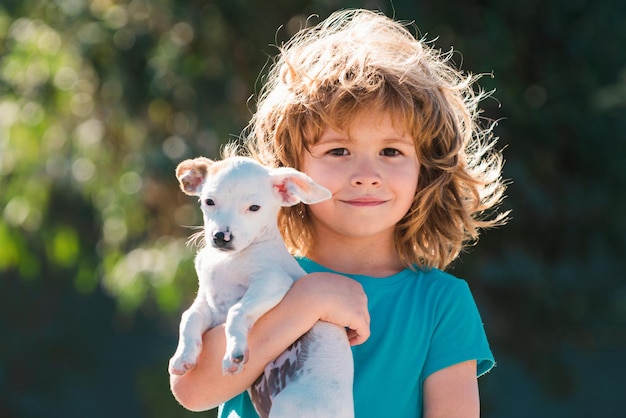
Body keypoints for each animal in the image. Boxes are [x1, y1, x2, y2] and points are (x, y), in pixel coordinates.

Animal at [167, 157, 352, 418]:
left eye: (254, 208)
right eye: (209, 202)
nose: (221, 237)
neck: (226, 260)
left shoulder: (272, 281)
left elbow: (237, 311)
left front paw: (234, 352)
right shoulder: (208, 304)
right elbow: (189, 317)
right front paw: (183, 355)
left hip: (290, 406)